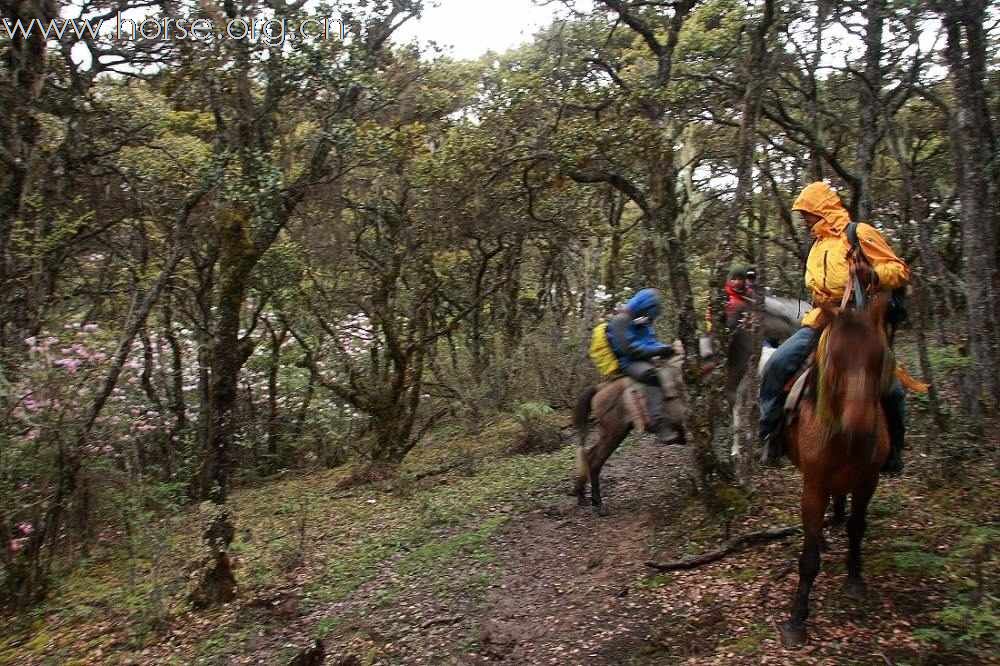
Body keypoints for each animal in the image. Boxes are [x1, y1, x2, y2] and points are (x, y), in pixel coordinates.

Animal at [572, 340, 688, 516]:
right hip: (613, 432)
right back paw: (598, 504)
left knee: (589, 454)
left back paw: (582, 495)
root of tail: (600, 389)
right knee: (594, 460)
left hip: (616, 432)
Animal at [780, 294, 892, 644]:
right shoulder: (814, 484)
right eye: (835, 359)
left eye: (879, 357)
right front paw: (797, 619)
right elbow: (808, 558)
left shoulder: (868, 481)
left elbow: (858, 527)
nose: (860, 431)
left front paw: (855, 578)